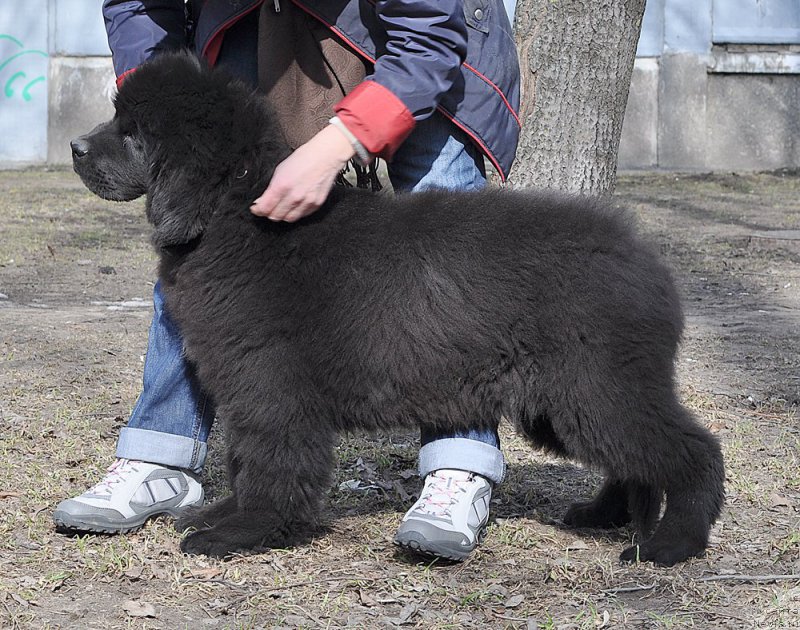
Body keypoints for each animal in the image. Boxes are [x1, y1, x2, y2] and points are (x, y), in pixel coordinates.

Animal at [73, 53, 724, 568]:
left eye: (134, 134)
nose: (76, 147)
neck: (233, 214)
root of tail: (647, 260)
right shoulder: (244, 382)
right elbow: (241, 459)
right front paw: (222, 514)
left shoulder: (270, 385)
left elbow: (267, 461)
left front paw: (245, 530)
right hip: (564, 403)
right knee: (635, 462)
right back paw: (604, 514)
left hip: (595, 387)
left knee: (692, 453)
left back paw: (671, 544)